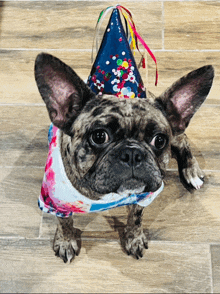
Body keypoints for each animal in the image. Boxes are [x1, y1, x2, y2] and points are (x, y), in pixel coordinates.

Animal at [34, 52, 213, 262]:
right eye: (99, 136)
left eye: (159, 140)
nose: (132, 153)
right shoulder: (55, 203)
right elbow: (65, 222)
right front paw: (66, 241)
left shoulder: (143, 196)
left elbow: (136, 218)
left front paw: (134, 238)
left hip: (178, 136)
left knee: (183, 139)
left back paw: (191, 170)